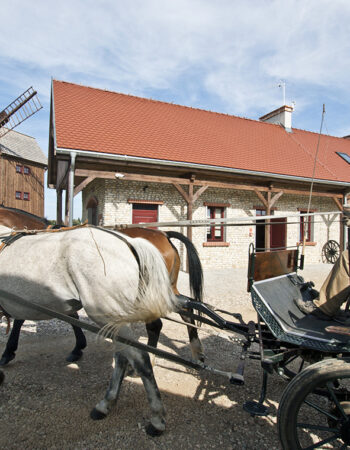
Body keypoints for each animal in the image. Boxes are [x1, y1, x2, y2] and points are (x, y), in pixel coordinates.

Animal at [0, 209, 204, 368]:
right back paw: (196, 353)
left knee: (156, 325)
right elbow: (70, 316)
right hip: (167, 289)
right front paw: (78, 348)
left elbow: (21, 318)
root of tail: (164, 235)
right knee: (186, 310)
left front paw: (8, 352)